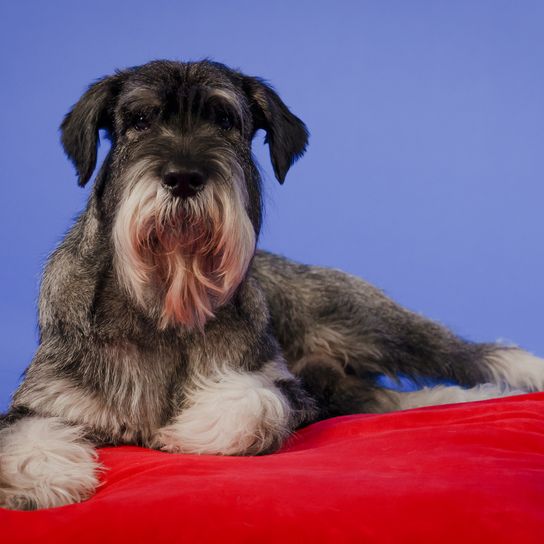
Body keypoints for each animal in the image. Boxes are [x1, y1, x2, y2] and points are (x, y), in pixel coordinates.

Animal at [1, 59, 544, 510]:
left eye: (224, 121)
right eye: (138, 121)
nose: (184, 177)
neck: (164, 307)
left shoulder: (288, 389)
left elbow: (257, 399)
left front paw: (197, 425)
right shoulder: (44, 401)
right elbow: (23, 431)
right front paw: (38, 476)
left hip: (371, 324)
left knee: (469, 355)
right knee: (383, 400)